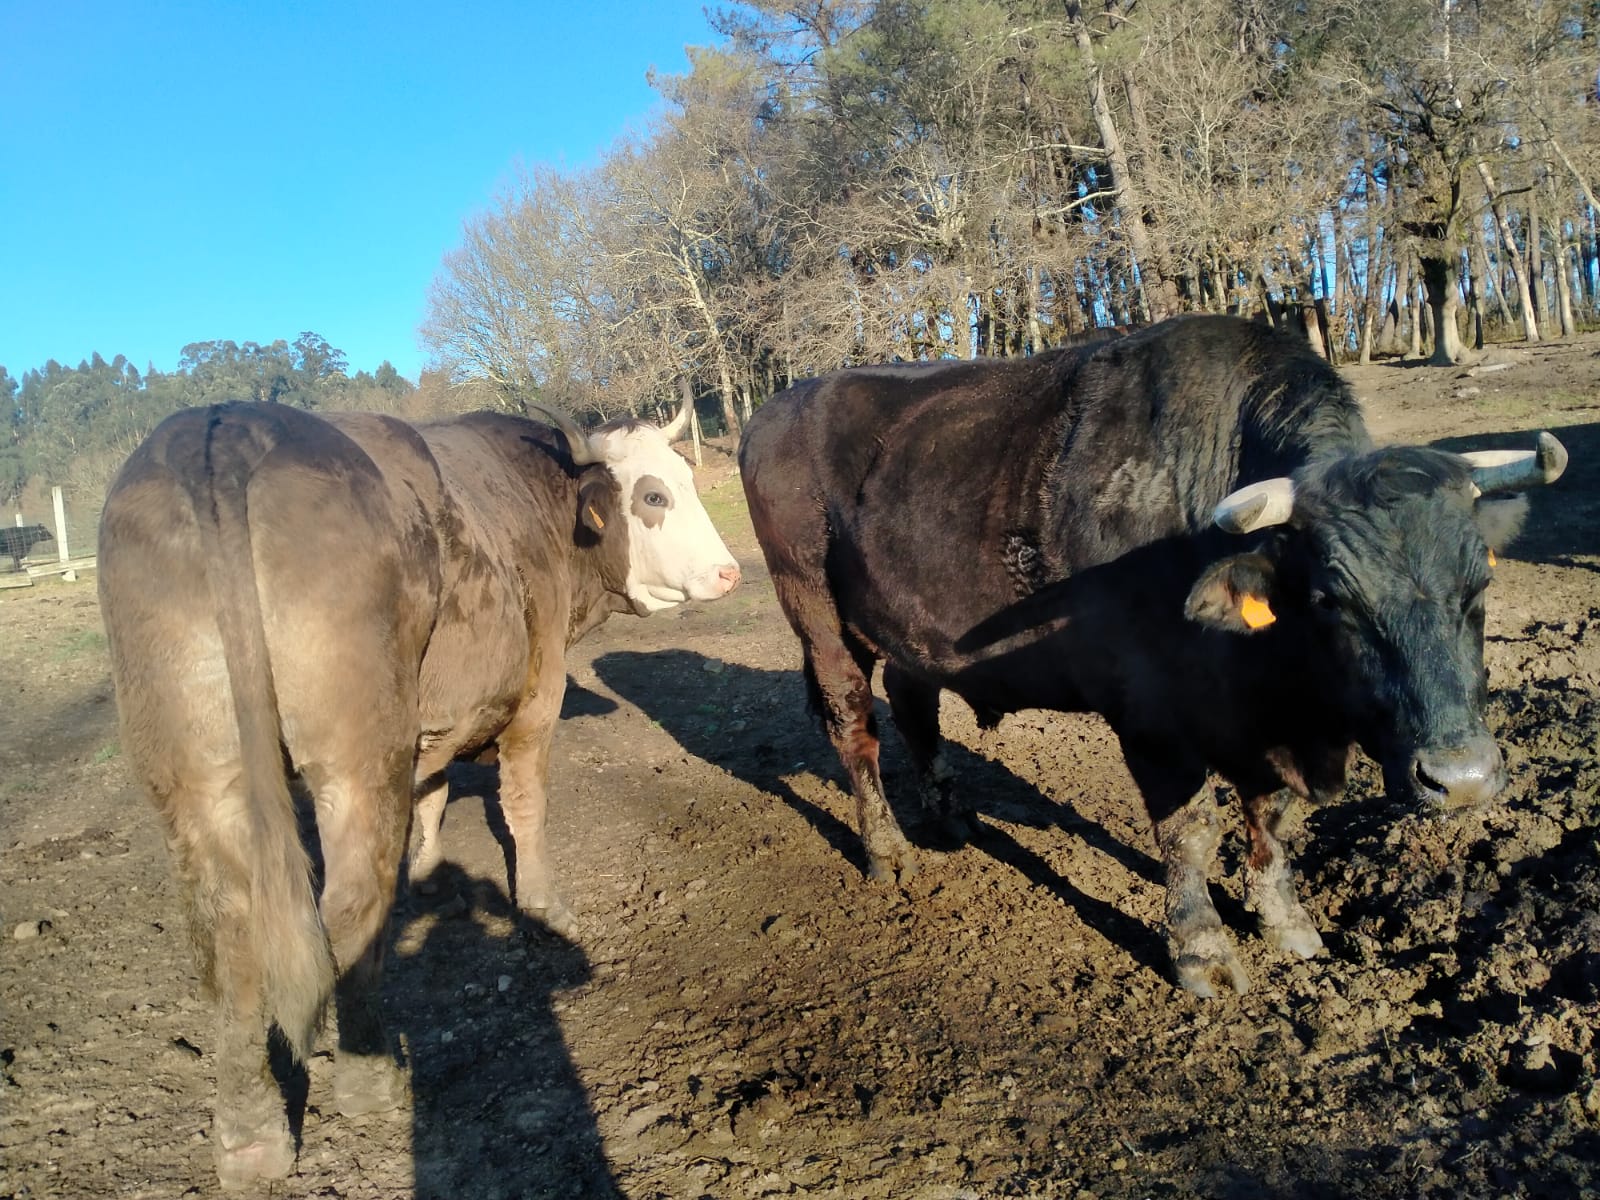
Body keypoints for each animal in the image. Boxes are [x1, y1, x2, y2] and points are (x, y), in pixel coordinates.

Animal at [103, 400, 739, 1190]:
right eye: (653, 495)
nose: (730, 572)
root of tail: (224, 424)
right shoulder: (537, 694)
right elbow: (524, 804)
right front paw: (543, 904)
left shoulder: (438, 719)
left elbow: (434, 792)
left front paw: (433, 875)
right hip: (356, 756)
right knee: (351, 906)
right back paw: (370, 1077)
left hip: (195, 771)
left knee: (228, 936)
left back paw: (250, 1138)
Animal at [742, 315, 1568, 998]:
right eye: (1333, 597)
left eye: (1481, 578)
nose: (1460, 780)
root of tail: (780, 405)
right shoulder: (1152, 720)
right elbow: (1190, 832)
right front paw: (1202, 951)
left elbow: (1273, 820)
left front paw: (1285, 922)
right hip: (817, 617)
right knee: (855, 728)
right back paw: (887, 851)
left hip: (913, 627)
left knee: (916, 706)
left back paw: (949, 818)